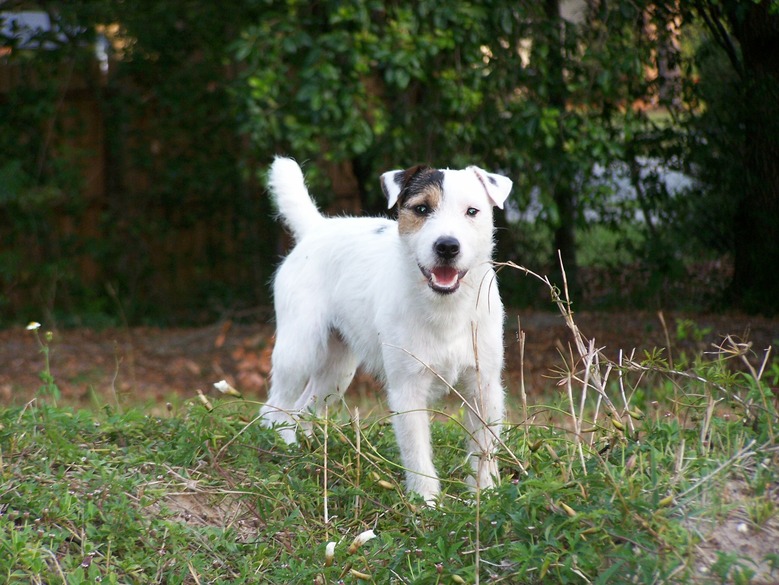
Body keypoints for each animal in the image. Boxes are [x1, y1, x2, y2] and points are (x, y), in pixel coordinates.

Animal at [262, 156, 512, 502]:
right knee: (276, 409)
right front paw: (426, 503)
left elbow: (483, 450)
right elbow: (417, 454)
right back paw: (285, 449)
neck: (445, 307)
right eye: (422, 209)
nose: (447, 246)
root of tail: (318, 228)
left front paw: (483, 495)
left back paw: (309, 452)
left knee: (305, 408)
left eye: (472, 211)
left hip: (337, 371)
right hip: (299, 351)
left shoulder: (483, 387)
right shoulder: (408, 390)